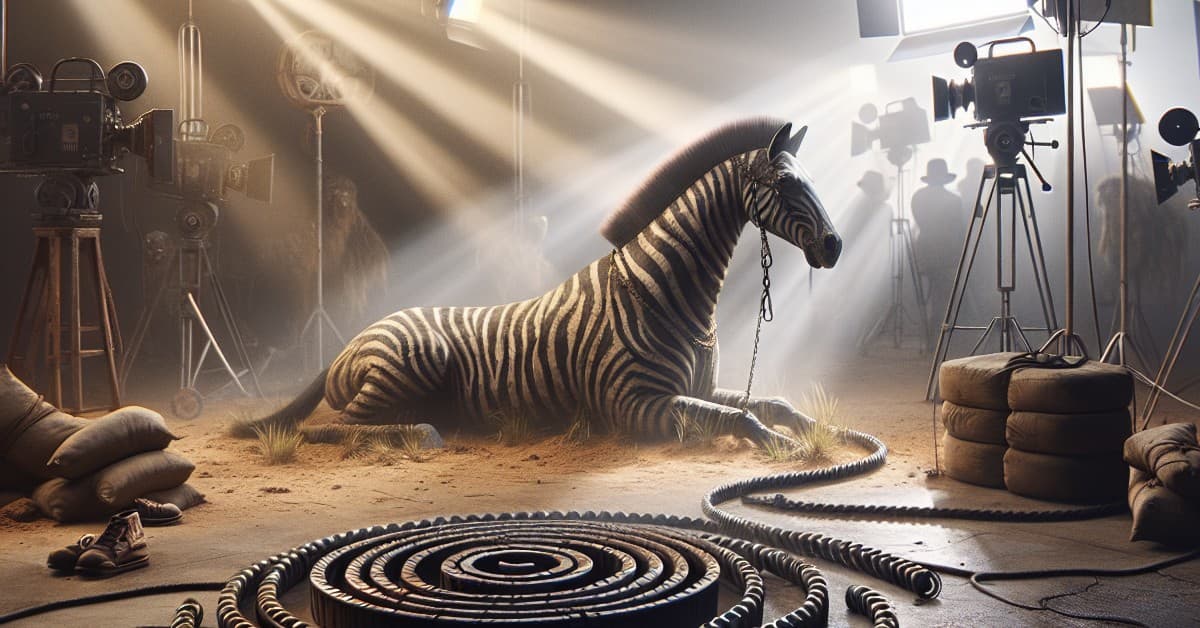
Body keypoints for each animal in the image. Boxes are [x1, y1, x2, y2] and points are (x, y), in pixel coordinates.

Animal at [248, 118, 841, 445]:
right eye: (787, 184)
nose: (834, 247)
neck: (665, 293)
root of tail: (348, 343)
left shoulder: (697, 389)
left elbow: (774, 405)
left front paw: (828, 433)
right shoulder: (634, 403)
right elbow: (743, 422)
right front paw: (785, 451)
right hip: (414, 361)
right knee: (329, 427)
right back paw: (423, 433)